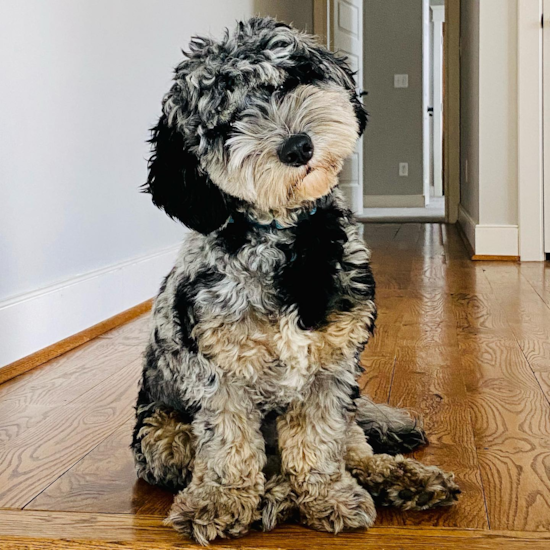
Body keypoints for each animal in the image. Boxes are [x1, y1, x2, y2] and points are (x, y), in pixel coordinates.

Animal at [130, 15, 462, 544]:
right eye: (224, 123)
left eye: (288, 80)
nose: (297, 146)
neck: (292, 243)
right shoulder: (218, 371)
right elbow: (229, 443)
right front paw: (223, 501)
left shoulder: (331, 366)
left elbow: (320, 440)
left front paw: (326, 495)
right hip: (162, 435)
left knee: (355, 445)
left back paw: (407, 479)